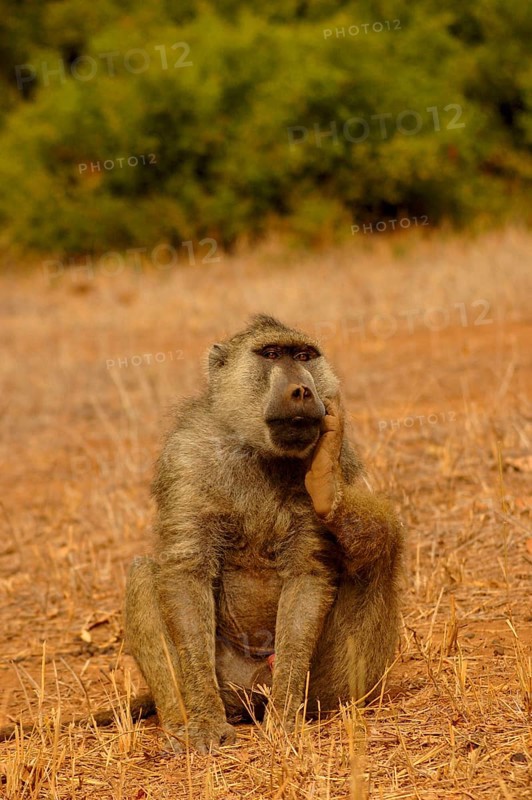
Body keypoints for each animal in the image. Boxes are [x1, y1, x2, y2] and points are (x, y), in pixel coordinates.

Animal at [120, 314, 405, 754]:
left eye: (304, 356)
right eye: (271, 354)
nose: (303, 390)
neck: (258, 450)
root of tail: (250, 694)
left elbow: (309, 574)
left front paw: (285, 719)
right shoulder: (186, 457)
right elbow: (186, 573)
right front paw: (205, 724)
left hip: (325, 688)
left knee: (380, 550)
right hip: (227, 677)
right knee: (144, 573)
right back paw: (180, 724)